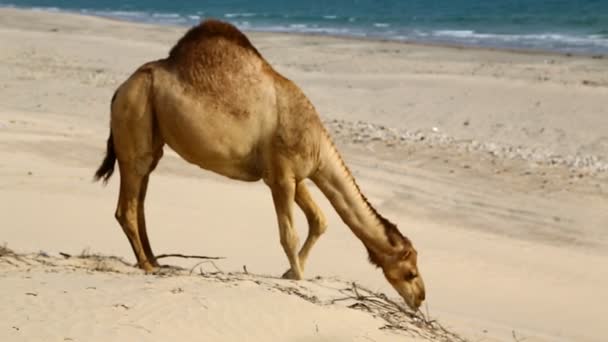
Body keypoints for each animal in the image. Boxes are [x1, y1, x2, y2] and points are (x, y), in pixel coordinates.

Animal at [95, 19, 426, 310]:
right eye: (411, 271)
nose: (421, 298)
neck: (319, 145)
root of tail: (120, 89)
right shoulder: (281, 176)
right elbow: (289, 235)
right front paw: (299, 279)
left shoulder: (293, 176)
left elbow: (319, 220)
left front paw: (291, 273)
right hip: (135, 119)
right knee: (127, 206)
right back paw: (147, 265)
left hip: (152, 137)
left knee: (139, 201)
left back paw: (155, 261)